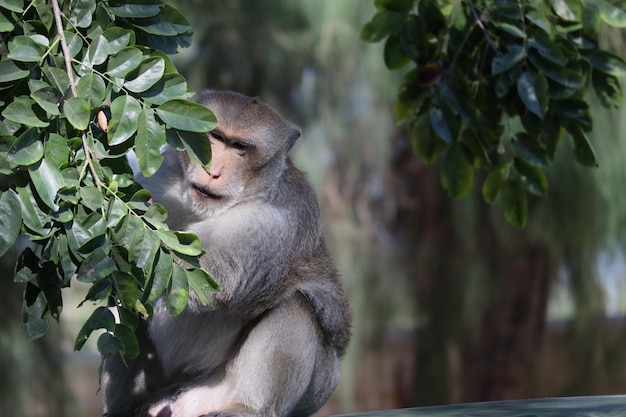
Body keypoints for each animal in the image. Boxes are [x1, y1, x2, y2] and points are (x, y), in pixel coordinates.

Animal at [100, 88, 348, 416]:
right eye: (215, 137)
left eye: (239, 146)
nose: (212, 171)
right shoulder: (158, 181)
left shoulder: (274, 225)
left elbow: (199, 279)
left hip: (311, 387)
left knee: (296, 305)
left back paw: (249, 407)